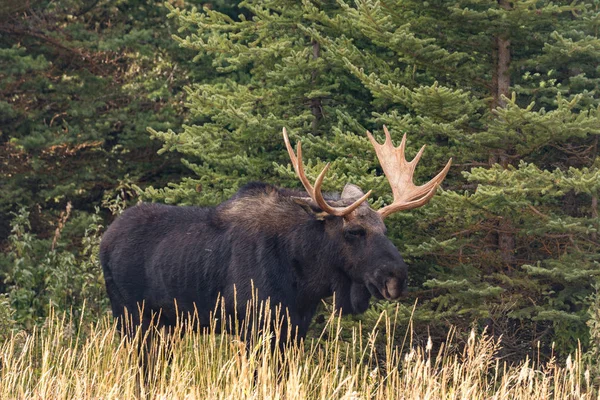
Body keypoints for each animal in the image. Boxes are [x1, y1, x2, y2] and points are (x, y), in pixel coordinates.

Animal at [101, 127, 452, 344]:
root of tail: (104, 242)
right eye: (354, 231)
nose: (397, 277)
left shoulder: (294, 327)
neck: (306, 278)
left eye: (385, 229)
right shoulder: (253, 323)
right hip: (132, 318)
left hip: (165, 325)